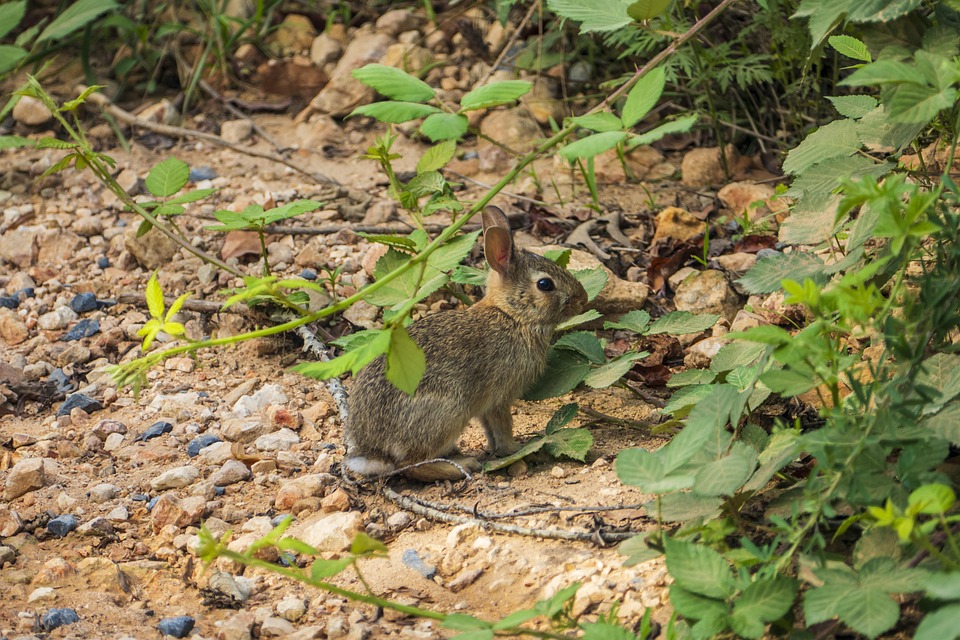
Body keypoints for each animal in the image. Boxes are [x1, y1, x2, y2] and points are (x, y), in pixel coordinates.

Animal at [344, 205, 589, 482]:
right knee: (412, 464)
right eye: (545, 284)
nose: (583, 299)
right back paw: (462, 466)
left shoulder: (485, 406)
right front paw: (517, 450)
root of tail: (372, 451)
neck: (512, 316)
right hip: (448, 412)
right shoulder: (500, 397)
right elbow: (503, 428)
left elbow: (491, 432)